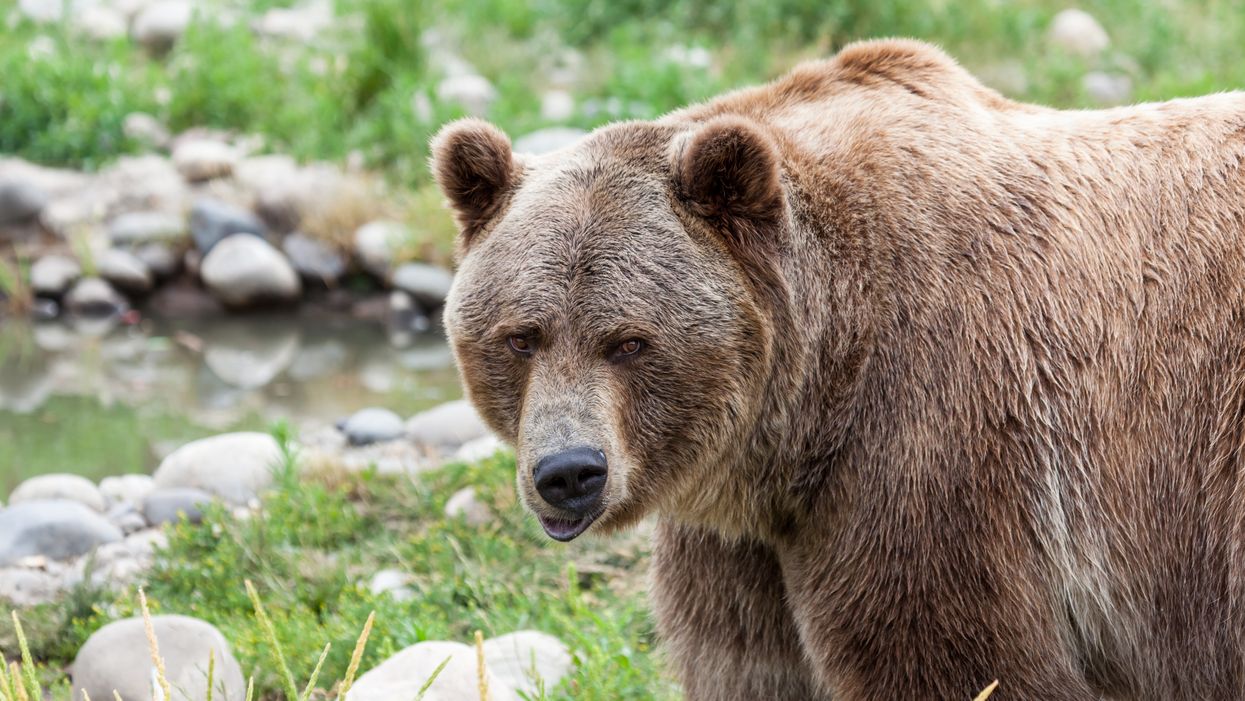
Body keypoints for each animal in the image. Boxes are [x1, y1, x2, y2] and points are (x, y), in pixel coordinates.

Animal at [431, 38, 1245, 700]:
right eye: (523, 336)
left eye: (629, 340)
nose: (569, 471)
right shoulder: (745, 550)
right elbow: (749, 666)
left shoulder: (936, 451)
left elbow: (958, 662)